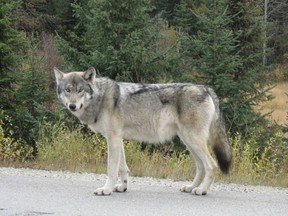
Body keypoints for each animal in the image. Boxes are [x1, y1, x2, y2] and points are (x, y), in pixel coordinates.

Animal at [53, 67, 232, 196]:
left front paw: (106, 190)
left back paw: (202, 190)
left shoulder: (113, 138)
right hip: (188, 142)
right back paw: (191, 187)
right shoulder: (117, 138)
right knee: (201, 167)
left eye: (80, 90)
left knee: (212, 165)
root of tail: (207, 89)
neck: (100, 99)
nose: (72, 106)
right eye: (68, 90)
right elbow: (123, 168)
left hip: (193, 141)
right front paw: (122, 187)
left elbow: (111, 169)